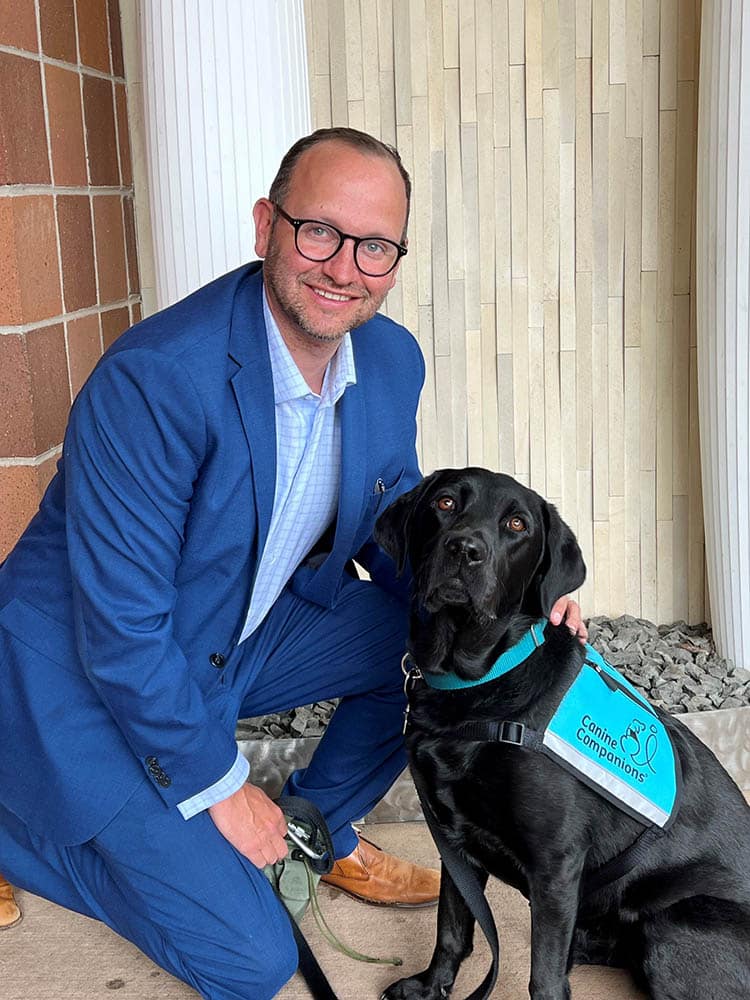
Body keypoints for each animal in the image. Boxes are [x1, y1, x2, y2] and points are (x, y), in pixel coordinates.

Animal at [376, 468, 750, 1000]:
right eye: (445, 502)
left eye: (517, 524)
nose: (464, 549)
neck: (479, 685)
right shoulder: (452, 838)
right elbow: (452, 927)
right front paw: (430, 987)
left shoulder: (556, 863)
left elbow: (544, 978)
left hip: (674, 928)